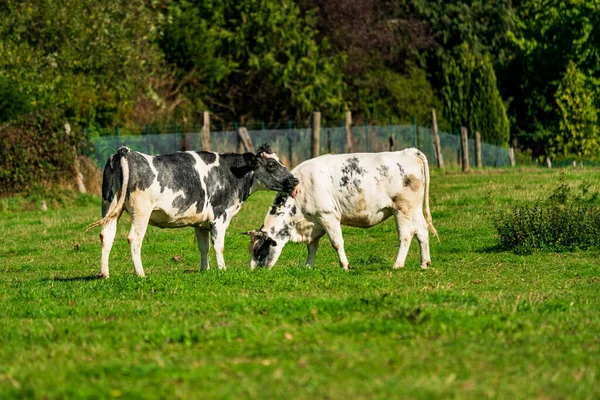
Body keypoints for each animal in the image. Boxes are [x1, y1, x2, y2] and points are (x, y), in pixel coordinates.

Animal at [86, 144, 298, 278]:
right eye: (271, 165)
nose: (295, 180)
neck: (230, 173)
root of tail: (125, 152)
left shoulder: (201, 223)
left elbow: (203, 247)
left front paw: (205, 270)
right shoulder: (220, 216)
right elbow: (218, 245)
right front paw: (222, 269)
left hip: (110, 206)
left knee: (106, 235)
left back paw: (104, 273)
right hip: (141, 212)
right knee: (134, 239)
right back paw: (140, 273)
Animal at [246, 148, 438, 270]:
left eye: (258, 250)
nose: (255, 272)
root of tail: (408, 151)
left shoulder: (327, 216)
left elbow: (337, 243)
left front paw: (345, 265)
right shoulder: (314, 222)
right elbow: (312, 247)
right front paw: (308, 266)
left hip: (402, 208)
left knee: (406, 235)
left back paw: (397, 264)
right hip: (414, 209)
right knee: (422, 231)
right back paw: (425, 263)